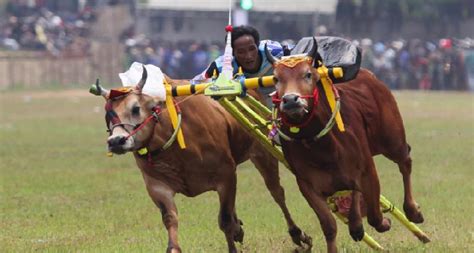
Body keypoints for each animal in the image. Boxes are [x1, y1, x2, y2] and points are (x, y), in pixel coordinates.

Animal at [94, 69, 312, 253]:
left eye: (136, 108)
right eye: (108, 113)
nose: (116, 141)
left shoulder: (226, 175)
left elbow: (225, 220)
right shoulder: (157, 186)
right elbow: (170, 219)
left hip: (262, 153)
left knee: (277, 193)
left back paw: (298, 235)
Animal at [266, 42, 426, 252]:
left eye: (308, 74)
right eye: (276, 78)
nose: (291, 100)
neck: (321, 147)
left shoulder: (367, 171)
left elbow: (375, 216)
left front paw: (385, 222)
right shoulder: (307, 184)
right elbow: (329, 226)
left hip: (392, 139)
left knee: (405, 161)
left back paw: (412, 211)